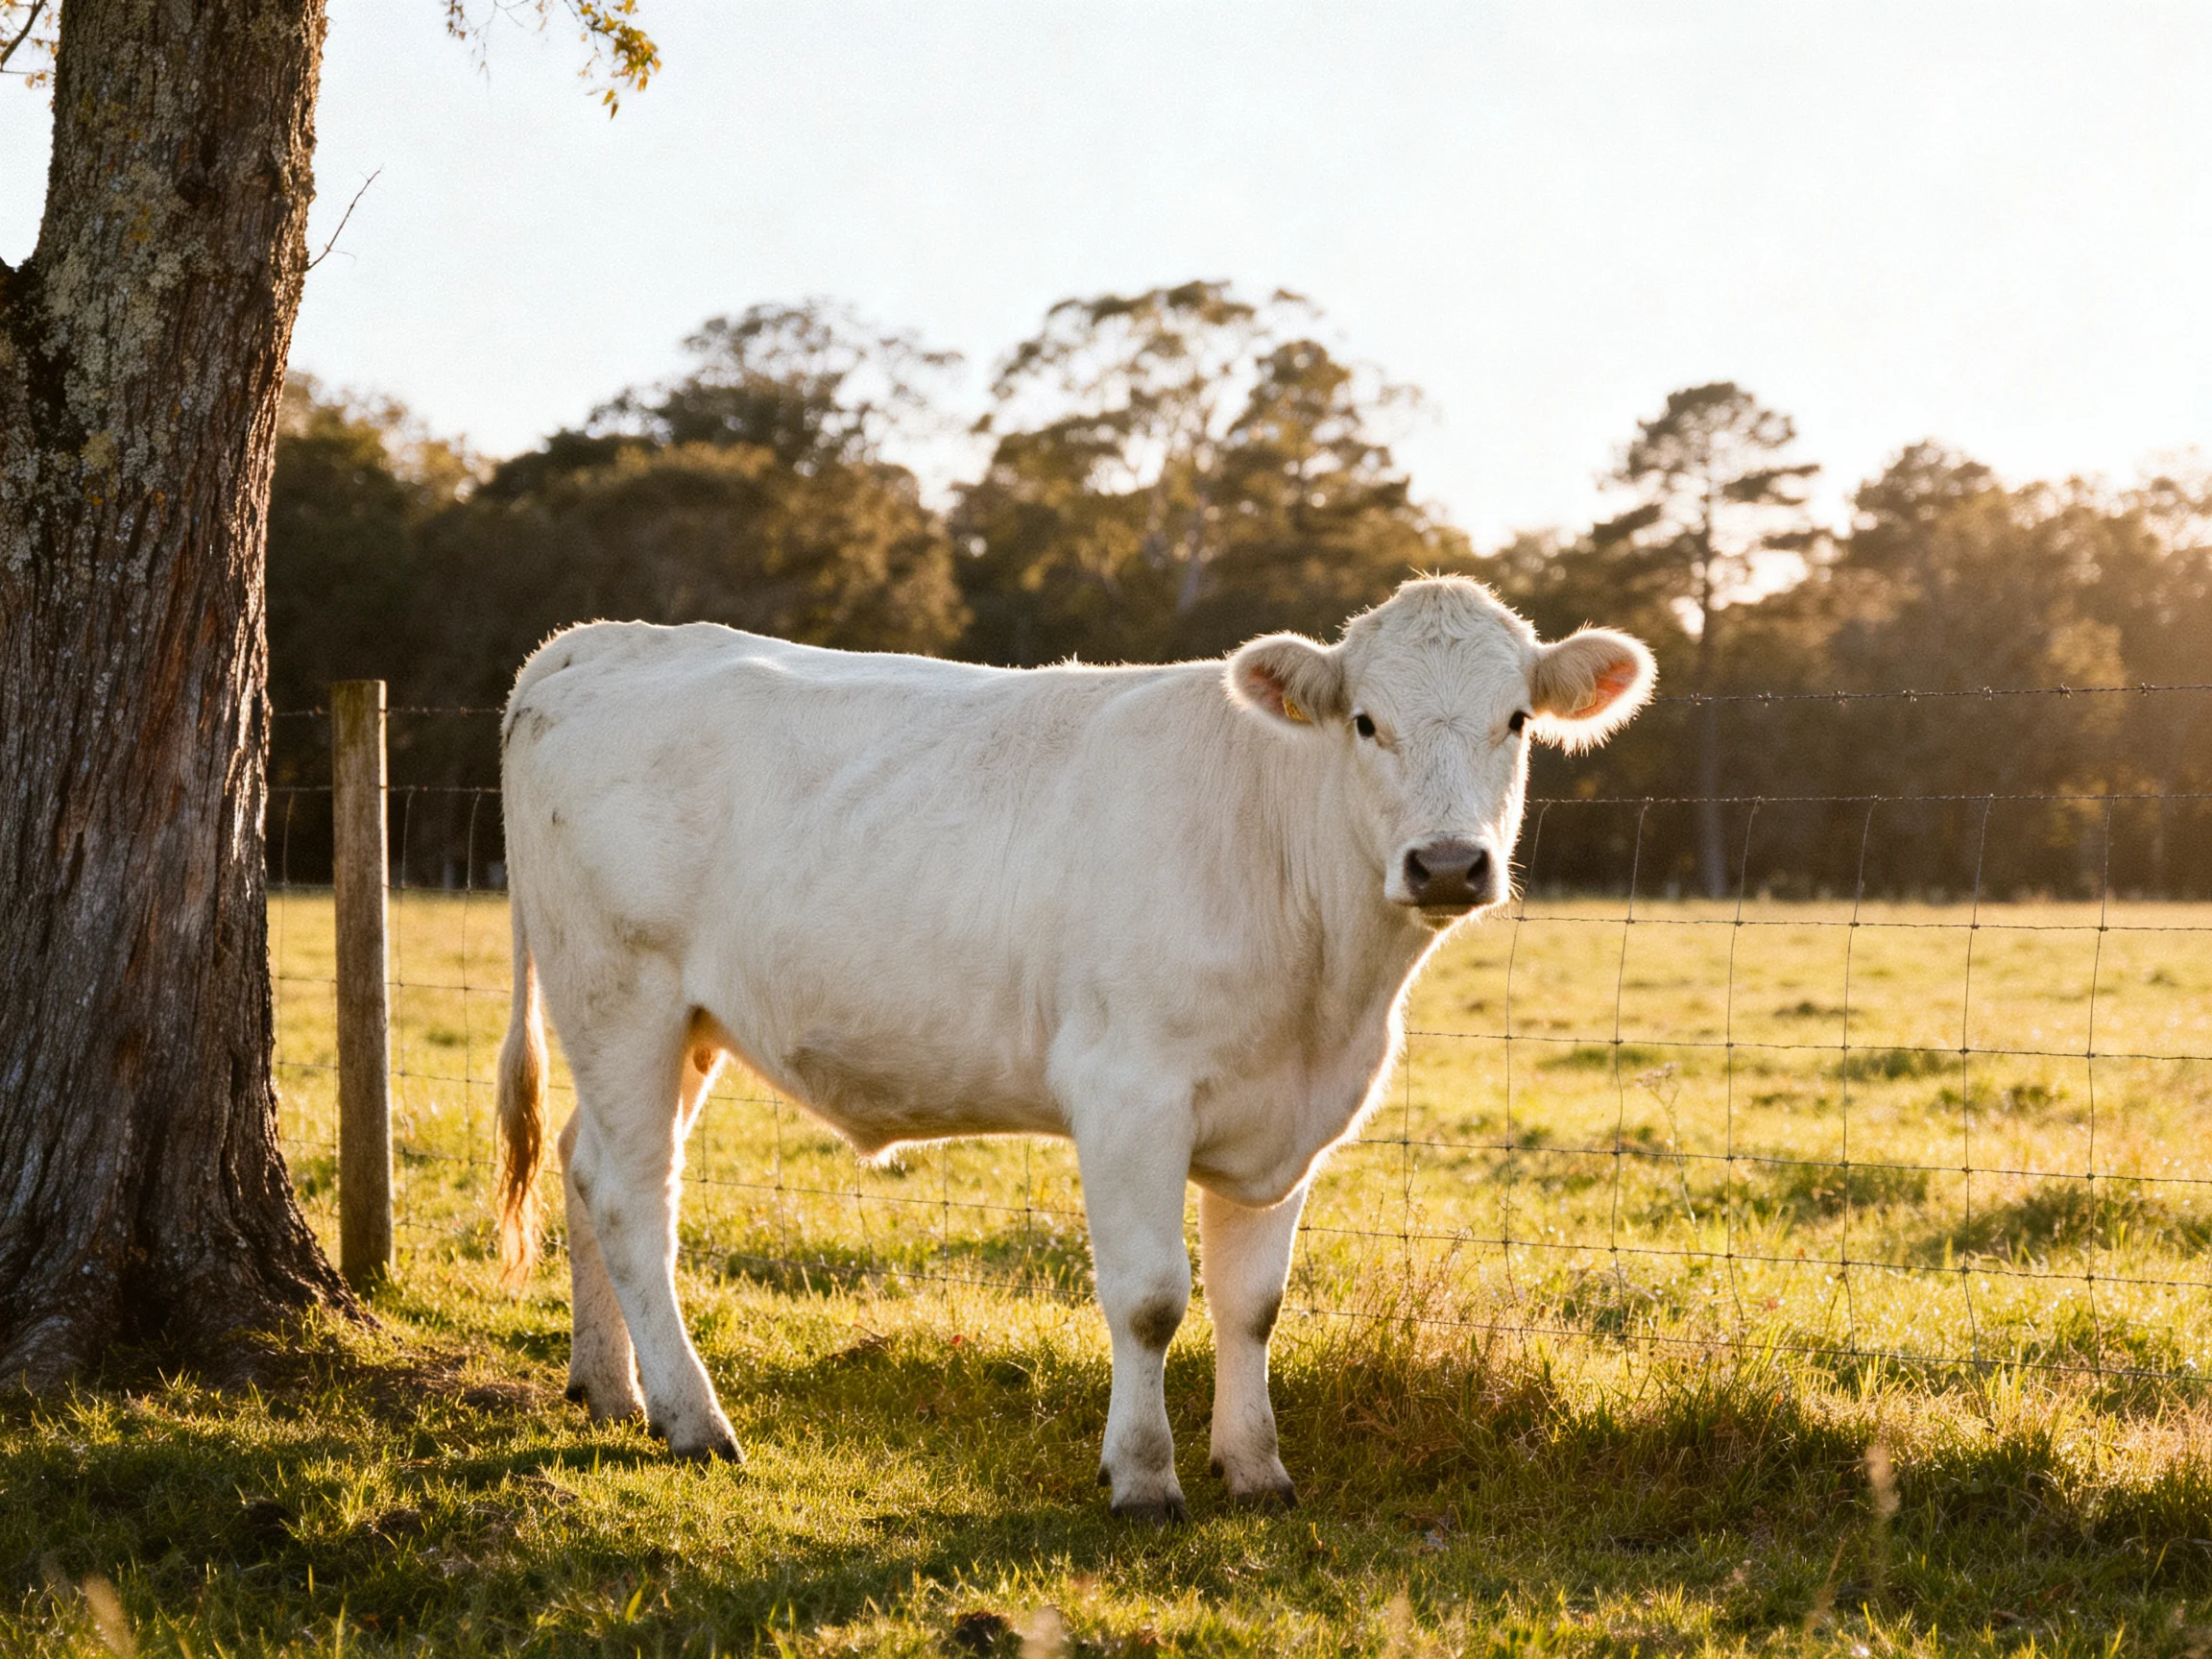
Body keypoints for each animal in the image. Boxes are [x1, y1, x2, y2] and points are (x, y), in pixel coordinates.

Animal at [493, 576, 1653, 1519]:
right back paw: (695, 1421)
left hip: (681, 1028)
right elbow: (1150, 1299)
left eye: (1516, 719)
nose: (1449, 864)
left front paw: (1257, 1470)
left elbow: (1252, 1305)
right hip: (621, 995)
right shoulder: (1128, 1094)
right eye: (1366, 722)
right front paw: (1143, 1477)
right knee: (635, 1199)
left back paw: (611, 1390)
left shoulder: (1289, 1119)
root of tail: (597, 642)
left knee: (586, 1165)